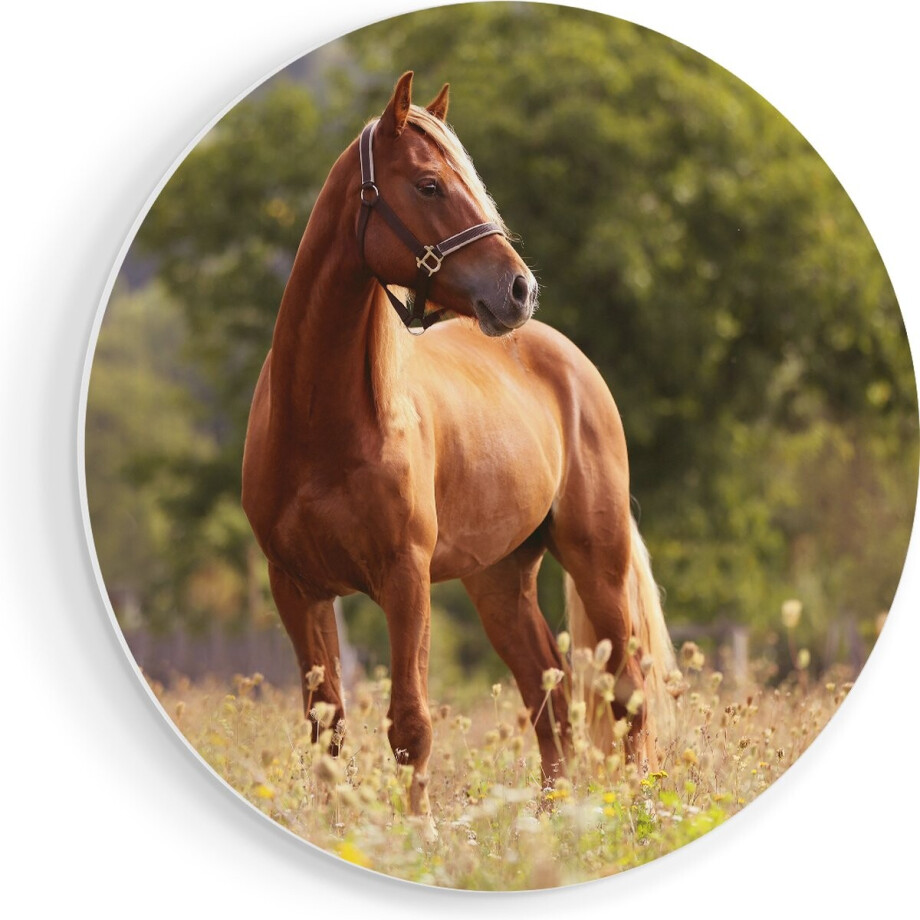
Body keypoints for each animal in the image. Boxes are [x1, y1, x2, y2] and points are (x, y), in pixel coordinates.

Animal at [242, 72, 676, 828]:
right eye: (429, 185)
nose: (520, 289)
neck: (322, 424)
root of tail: (569, 360)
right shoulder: (295, 586)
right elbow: (327, 725)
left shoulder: (404, 578)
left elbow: (409, 724)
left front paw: (416, 836)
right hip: (499, 580)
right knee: (549, 699)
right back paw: (549, 824)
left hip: (598, 559)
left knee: (626, 697)